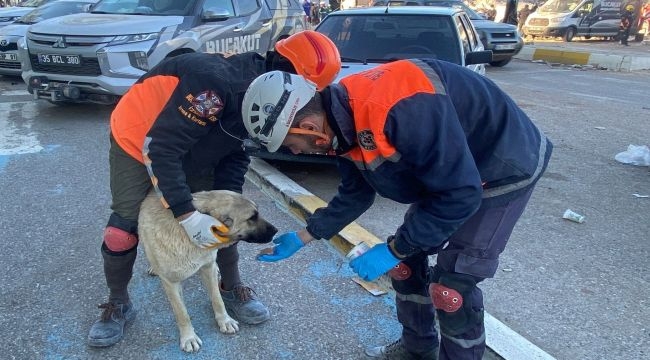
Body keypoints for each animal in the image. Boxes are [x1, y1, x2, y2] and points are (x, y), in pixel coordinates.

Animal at [138, 190, 274, 352]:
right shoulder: (171, 282)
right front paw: (189, 337)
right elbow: (182, 313)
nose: (276, 231)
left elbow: (217, 299)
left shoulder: (208, 267)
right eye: (251, 218)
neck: (186, 233)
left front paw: (225, 320)